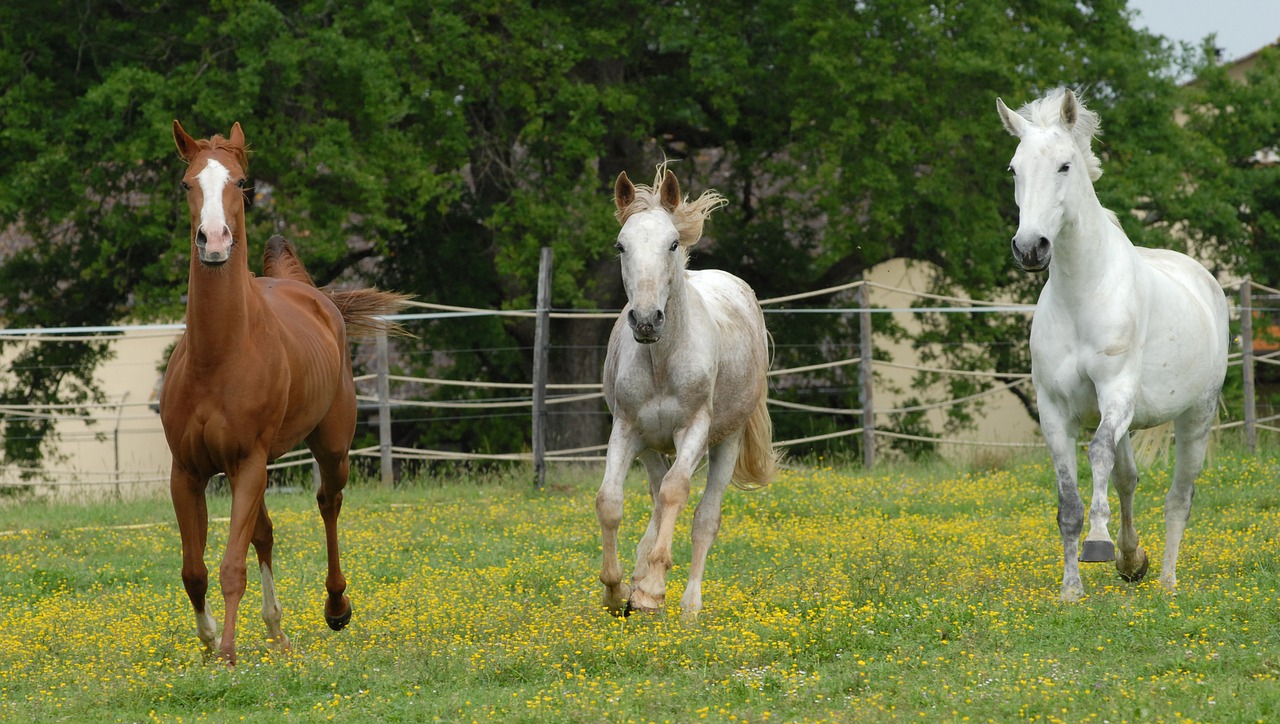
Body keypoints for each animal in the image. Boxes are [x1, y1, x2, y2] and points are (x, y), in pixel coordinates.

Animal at [160, 120, 407, 670]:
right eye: (187, 184)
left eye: (242, 183)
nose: (213, 240)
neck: (219, 355)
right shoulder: (188, 472)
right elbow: (194, 570)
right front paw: (209, 640)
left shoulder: (249, 462)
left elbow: (231, 566)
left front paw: (228, 652)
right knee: (264, 533)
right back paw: (276, 631)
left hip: (330, 447)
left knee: (328, 502)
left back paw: (336, 607)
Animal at [591, 165, 778, 619]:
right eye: (621, 245)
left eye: (672, 243)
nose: (645, 319)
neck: (663, 358)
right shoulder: (627, 430)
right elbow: (611, 501)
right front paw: (616, 590)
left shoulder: (694, 429)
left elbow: (678, 494)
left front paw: (652, 589)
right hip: (651, 447)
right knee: (657, 496)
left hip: (726, 441)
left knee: (704, 518)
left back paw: (689, 605)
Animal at [993, 89, 1233, 601]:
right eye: (1014, 169)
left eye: (1064, 165)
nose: (1030, 248)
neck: (1082, 295)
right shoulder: (1054, 411)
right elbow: (1069, 502)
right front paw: (1072, 589)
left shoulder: (1117, 393)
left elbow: (1098, 454)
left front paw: (1099, 543)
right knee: (1128, 479)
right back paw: (1132, 560)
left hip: (1195, 416)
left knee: (1179, 497)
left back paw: (1166, 581)